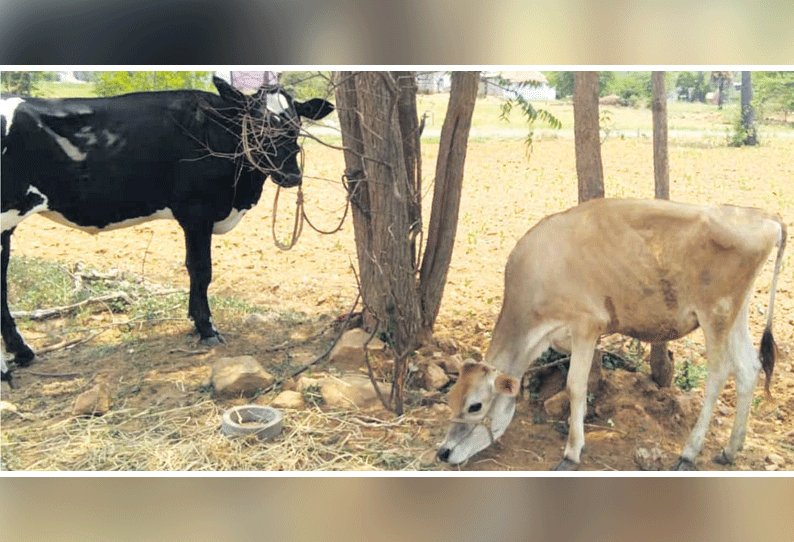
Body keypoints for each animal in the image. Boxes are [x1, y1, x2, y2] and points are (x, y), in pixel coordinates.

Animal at [0, 76, 334, 382]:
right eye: (254, 124)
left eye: (295, 124)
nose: (291, 175)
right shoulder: (196, 211)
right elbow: (201, 270)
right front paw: (206, 328)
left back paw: (22, 353)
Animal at [436, 198, 784, 470]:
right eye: (451, 399)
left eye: (475, 406)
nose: (443, 453)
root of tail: (763, 215)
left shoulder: (586, 324)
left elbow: (575, 386)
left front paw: (572, 453)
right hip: (736, 313)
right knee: (748, 367)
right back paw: (730, 450)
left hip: (715, 314)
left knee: (719, 374)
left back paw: (689, 453)